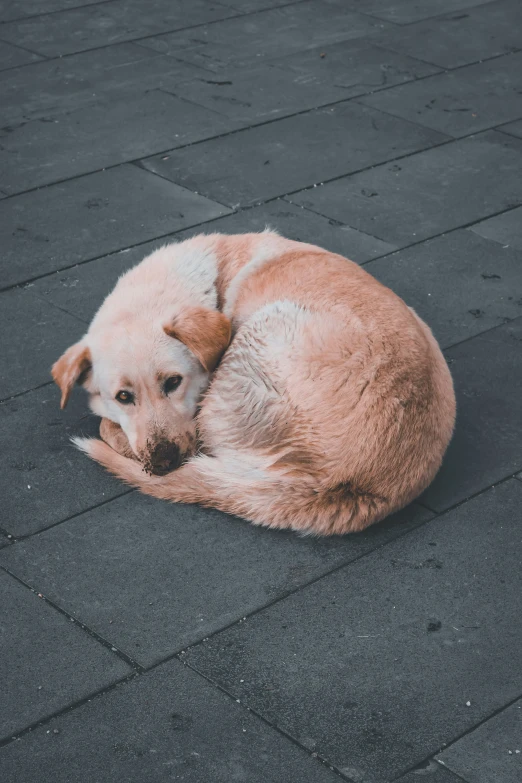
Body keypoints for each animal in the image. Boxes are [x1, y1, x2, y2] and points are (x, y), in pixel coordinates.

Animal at [50, 230, 452, 536]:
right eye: (123, 396)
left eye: (173, 382)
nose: (164, 460)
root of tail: (340, 484)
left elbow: (106, 426)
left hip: (255, 338)